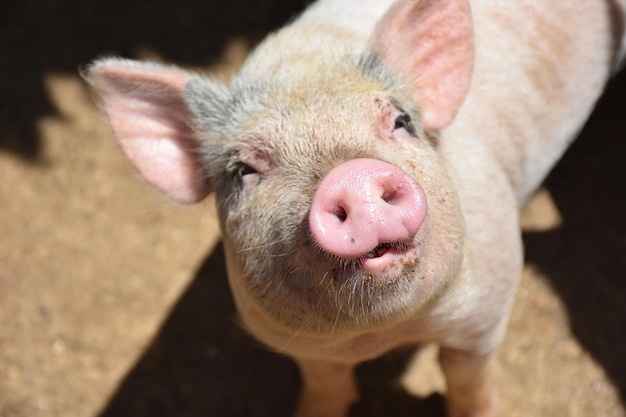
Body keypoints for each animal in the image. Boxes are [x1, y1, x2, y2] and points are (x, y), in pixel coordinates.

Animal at [83, 0, 624, 416]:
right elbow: (326, 384)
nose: (353, 176)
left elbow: (469, 380)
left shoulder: (489, 306)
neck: (386, 334)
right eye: (243, 170)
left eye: (402, 121)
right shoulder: (294, 340)